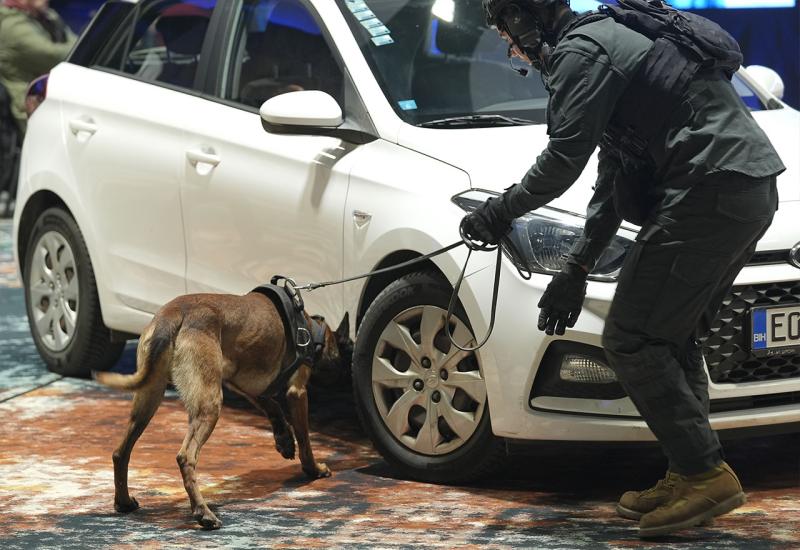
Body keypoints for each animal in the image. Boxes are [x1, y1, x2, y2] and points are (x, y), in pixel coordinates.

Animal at [94, 294, 350, 532]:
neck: (311, 328)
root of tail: (173, 314)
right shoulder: (296, 392)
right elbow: (305, 439)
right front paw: (313, 469)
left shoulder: (242, 384)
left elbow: (272, 406)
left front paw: (284, 440)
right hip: (209, 404)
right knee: (185, 456)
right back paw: (203, 513)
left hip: (149, 398)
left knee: (120, 452)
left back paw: (124, 502)